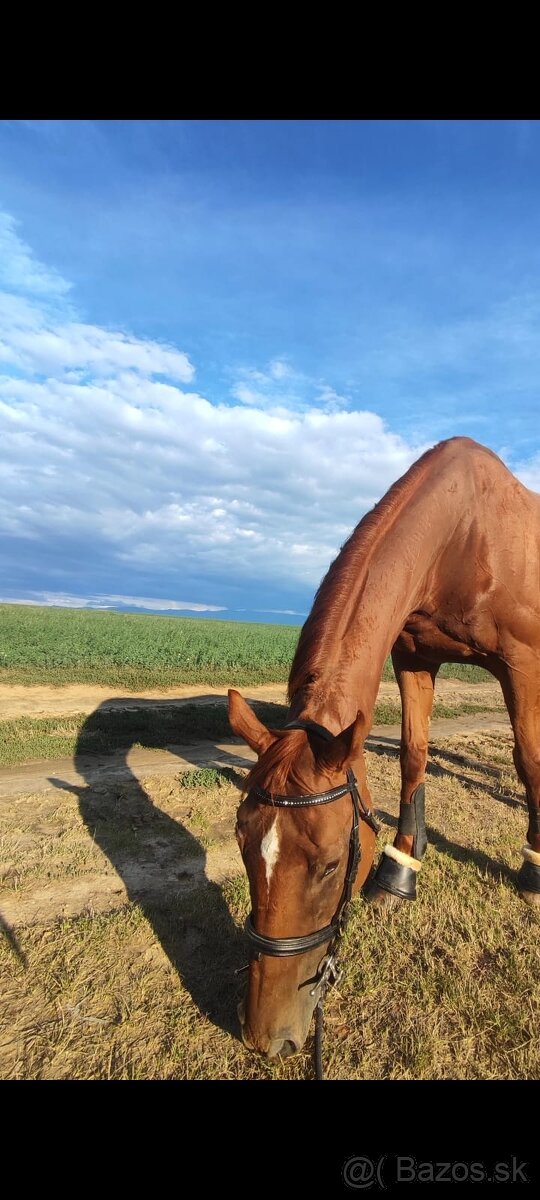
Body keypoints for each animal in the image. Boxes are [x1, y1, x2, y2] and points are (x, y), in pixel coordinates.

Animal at [226, 439, 540, 1060]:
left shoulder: (523, 663)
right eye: (242, 844)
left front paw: (534, 875)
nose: (265, 1037)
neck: (467, 532)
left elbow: (529, 761)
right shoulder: (414, 655)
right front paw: (399, 872)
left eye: (328, 865)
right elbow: (414, 754)